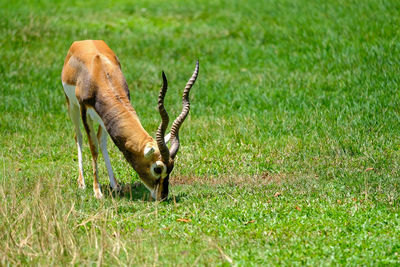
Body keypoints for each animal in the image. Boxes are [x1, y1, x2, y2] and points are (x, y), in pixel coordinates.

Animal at [61, 40, 198, 201]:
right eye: (157, 168)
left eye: (171, 167)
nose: (162, 196)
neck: (100, 73)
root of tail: (82, 42)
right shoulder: (84, 109)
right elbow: (93, 148)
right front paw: (97, 192)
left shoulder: (107, 116)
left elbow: (101, 143)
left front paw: (113, 186)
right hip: (72, 106)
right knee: (79, 137)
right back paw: (81, 183)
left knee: (102, 141)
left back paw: (114, 184)